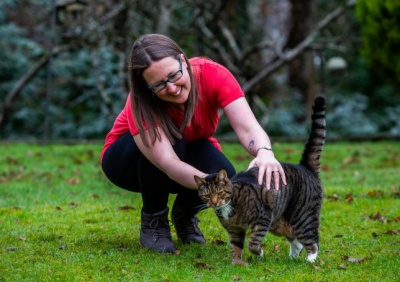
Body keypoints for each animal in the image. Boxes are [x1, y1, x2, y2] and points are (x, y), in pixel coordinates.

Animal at [195, 96, 326, 266]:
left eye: (219, 193)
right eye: (206, 195)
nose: (214, 202)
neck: (230, 205)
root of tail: (305, 167)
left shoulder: (263, 219)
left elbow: (253, 243)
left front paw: (259, 253)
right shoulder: (235, 230)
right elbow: (235, 246)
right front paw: (237, 263)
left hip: (303, 216)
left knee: (312, 240)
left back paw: (310, 259)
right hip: (281, 222)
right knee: (295, 239)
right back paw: (292, 257)